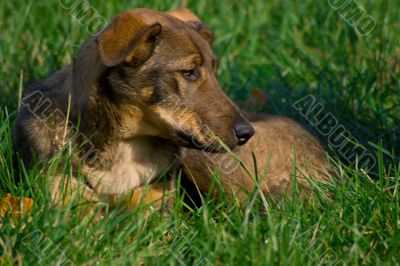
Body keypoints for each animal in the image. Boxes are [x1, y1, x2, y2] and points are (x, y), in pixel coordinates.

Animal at [12, 7, 332, 209]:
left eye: (215, 71)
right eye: (189, 72)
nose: (246, 134)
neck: (125, 144)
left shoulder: (161, 191)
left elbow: (140, 204)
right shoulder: (58, 189)